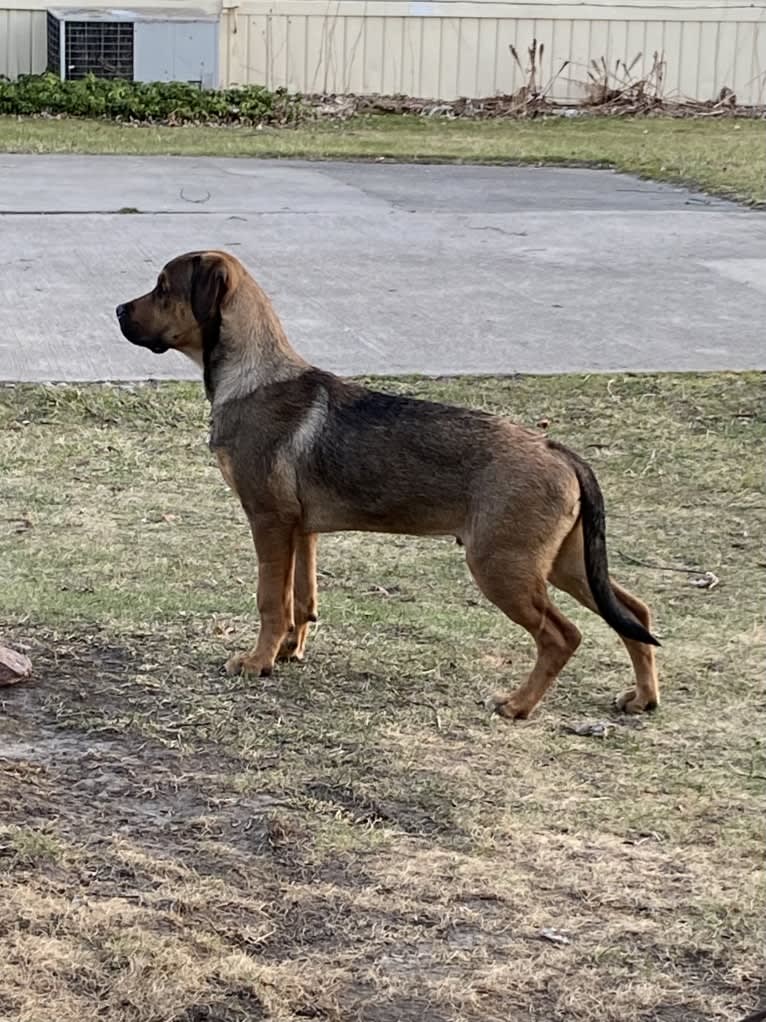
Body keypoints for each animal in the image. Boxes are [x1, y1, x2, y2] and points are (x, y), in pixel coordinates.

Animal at [115, 252, 661, 723]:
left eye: (163, 288)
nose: (118, 310)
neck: (253, 374)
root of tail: (558, 449)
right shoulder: (303, 531)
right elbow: (302, 600)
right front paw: (290, 651)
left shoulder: (268, 520)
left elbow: (272, 599)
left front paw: (256, 662)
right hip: (565, 563)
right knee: (634, 611)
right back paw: (642, 698)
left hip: (502, 565)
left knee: (562, 636)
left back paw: (517, 705)